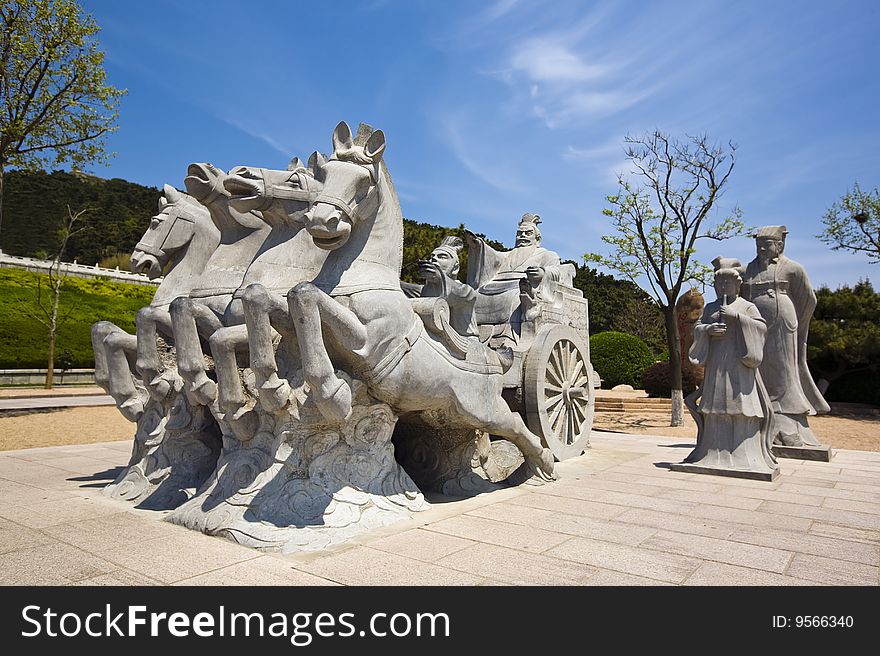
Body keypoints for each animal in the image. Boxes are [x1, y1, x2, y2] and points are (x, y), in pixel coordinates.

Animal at [286, 121, 552, 482]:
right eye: (324, 174)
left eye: (364, 182)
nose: (320, 221)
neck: (358, 274)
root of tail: (496, 357)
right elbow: (280, 296)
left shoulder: (369, 343)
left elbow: (305, 295)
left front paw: (333, 396)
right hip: (451, 412)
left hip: (483, 408)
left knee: (516, 425)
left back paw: (544, 463)